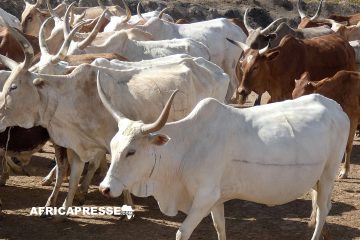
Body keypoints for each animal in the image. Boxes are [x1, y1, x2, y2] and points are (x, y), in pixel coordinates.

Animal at [98, 84, 348, 240]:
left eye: (131, 152)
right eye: (113, 147)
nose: (105, 188)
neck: (187, 148)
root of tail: (336, 108)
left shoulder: (204, 198)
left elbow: (182, 233)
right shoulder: (216, 200)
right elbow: (220, 228)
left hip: (328, 174)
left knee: (323, 209)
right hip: (316, 179)